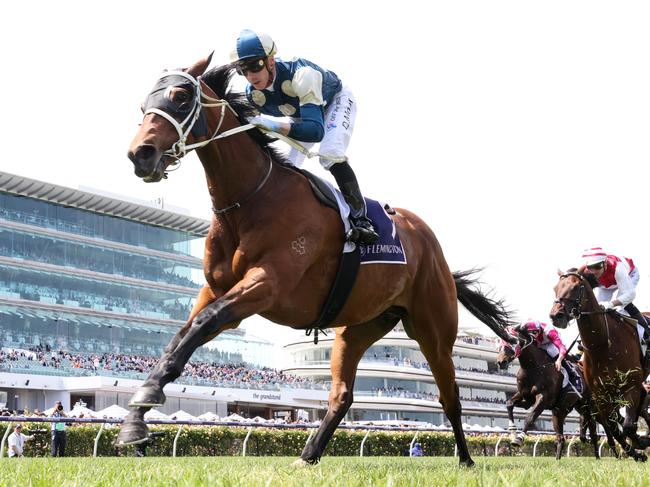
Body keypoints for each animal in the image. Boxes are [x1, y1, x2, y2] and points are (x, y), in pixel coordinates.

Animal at [114, 54, 512, 468]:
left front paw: (144, 402)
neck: (251, 200)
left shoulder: (267, 284)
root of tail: (431, 247)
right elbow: (182, 336)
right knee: (342, 395)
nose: (140, 154)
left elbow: (203, 323)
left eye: (180, 97)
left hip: (433, 328)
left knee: (450, 394)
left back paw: (465, 458)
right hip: (358, 328)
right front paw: (135, 421)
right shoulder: (216, 289)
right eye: (144, 106)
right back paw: (308, 454)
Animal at [494, 328, 600, 462]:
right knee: (561, 438)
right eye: (500, 343)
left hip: (587, 406)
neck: (533, 367)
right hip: (562, 410)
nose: (500, 362)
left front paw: (519, 439)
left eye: (512, 342)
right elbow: (509, 403)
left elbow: (530, 418)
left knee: (593, 431)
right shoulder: (526, 398)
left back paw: (597, 456)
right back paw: (558, 460)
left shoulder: (543, 398)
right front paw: (513, 433)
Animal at [548, 266, 648, 462]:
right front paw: (637, 452)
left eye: (576, 287)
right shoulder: (601, 396)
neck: (602, 344)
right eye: (555, 288)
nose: (556, 315)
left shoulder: (631, 384)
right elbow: (615, 428)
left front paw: (641, 443)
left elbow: (627, 425)